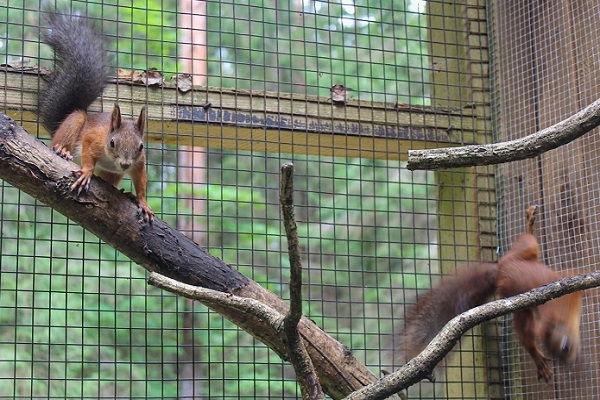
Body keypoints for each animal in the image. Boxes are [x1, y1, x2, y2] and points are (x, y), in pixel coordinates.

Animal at [37, 10, 154, 222]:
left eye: (141, 146)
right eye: (112, 143)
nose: (125, 164)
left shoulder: (139, 162)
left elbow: (141, 181)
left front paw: (142, 201)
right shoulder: (94, 139)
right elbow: (88, 153)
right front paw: (86, 172)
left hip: (112, 175)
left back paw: (127, 193)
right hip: (74, 122)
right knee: (60, 141)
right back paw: (61, 151)